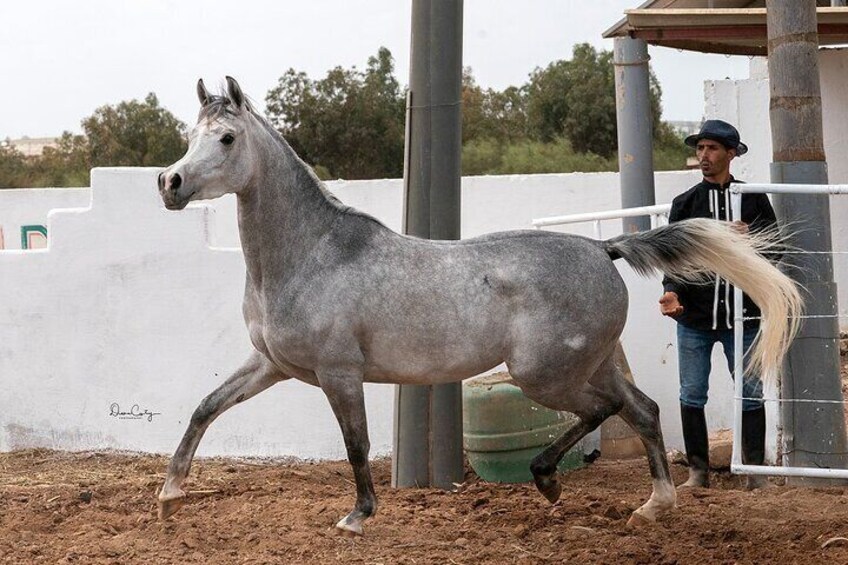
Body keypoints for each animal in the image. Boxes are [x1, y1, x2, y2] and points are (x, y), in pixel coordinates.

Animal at [154, 78, 800, 532]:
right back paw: (650, 505)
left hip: (545, 374)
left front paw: (357, 516)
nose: (170, 183)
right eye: (190, 136)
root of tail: (601, 247)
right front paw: (169, 496)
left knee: (608, 410)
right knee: (641, 410)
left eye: (226, 139)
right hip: (592, 363)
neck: (312, 254)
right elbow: (205, 408)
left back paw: (555, 482)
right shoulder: (272, 365)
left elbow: (357, 444)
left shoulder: (339, 372)